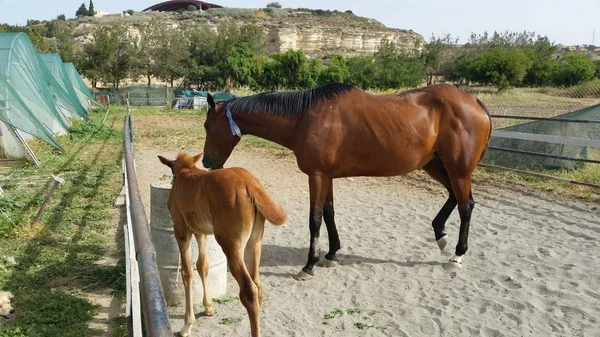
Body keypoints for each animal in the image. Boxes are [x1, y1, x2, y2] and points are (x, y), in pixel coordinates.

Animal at [157, 152, 288, 336]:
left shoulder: (181, 231)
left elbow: (187, 272)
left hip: (230, 244)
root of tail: (250, 185)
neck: (185, 171)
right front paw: (208, 307)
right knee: (258, 284)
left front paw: (187, 325)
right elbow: (203, 265)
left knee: (249, 290)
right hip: (255, 242)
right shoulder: (201, 233)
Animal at [202, 82, 492, 280]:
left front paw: (309, 264)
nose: (207, 162)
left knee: (466, 205)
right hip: (436, 165)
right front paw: (331, 254)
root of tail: (473, 101)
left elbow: (315, 218)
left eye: (206, 126)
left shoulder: (317, 175)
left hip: (458, 170)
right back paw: (440, 235)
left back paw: (457, 255)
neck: (305, 118)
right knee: (456, 197)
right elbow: (329, 213)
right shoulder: (326, 175)